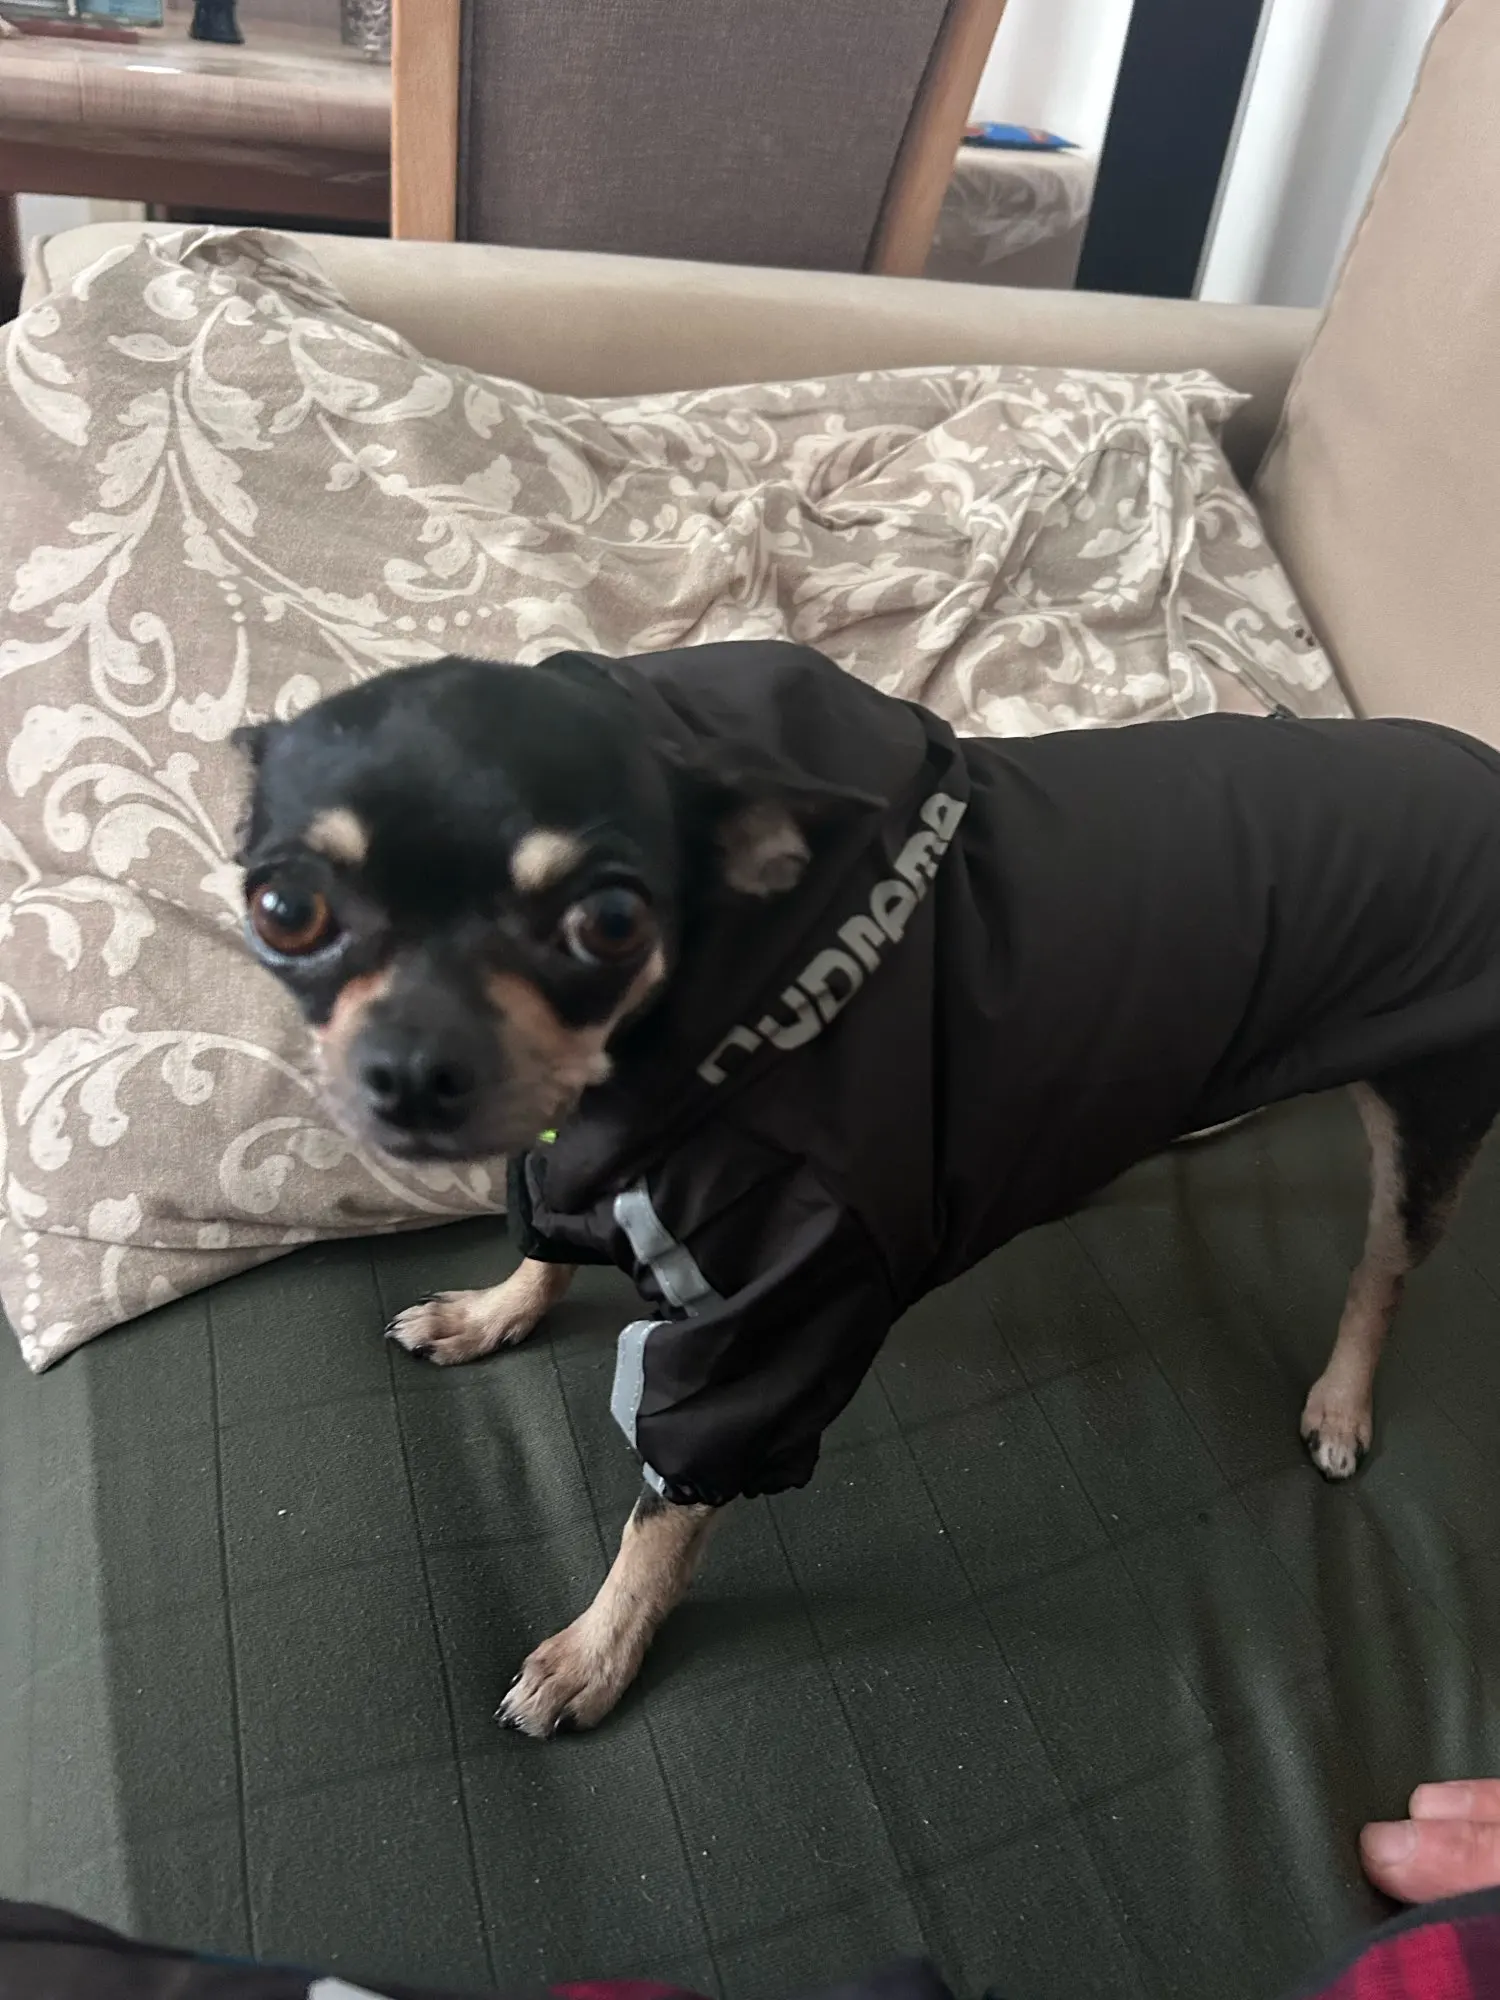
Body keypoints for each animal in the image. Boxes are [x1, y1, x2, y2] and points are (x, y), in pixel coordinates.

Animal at [235, 640, 1500, 1738]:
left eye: (611, 920)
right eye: (282, 908)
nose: (413, 1069)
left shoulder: (768, 1324)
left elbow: (667, 1507)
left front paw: (599, 1648)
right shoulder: (573, 1148)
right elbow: (545, 1241)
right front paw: (490, 1314)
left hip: (1432, 1107)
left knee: (1384, 1267)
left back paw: (1341, 1399)